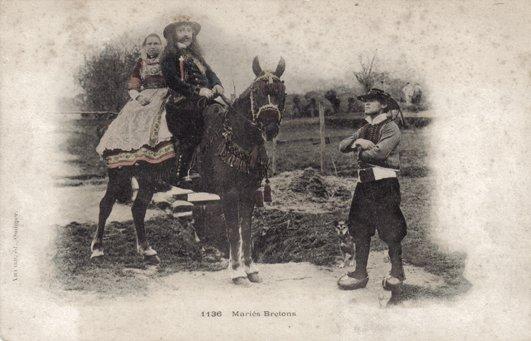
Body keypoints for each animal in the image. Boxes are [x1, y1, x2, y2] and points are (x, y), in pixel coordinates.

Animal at [196, 56, 286, 284]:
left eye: (281, 92)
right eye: (256, 92)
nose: (270, 129)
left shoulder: (249, 193)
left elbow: (245, 229)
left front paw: (250, 268)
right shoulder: (228, 194)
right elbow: (233, 231)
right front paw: (236, 271)